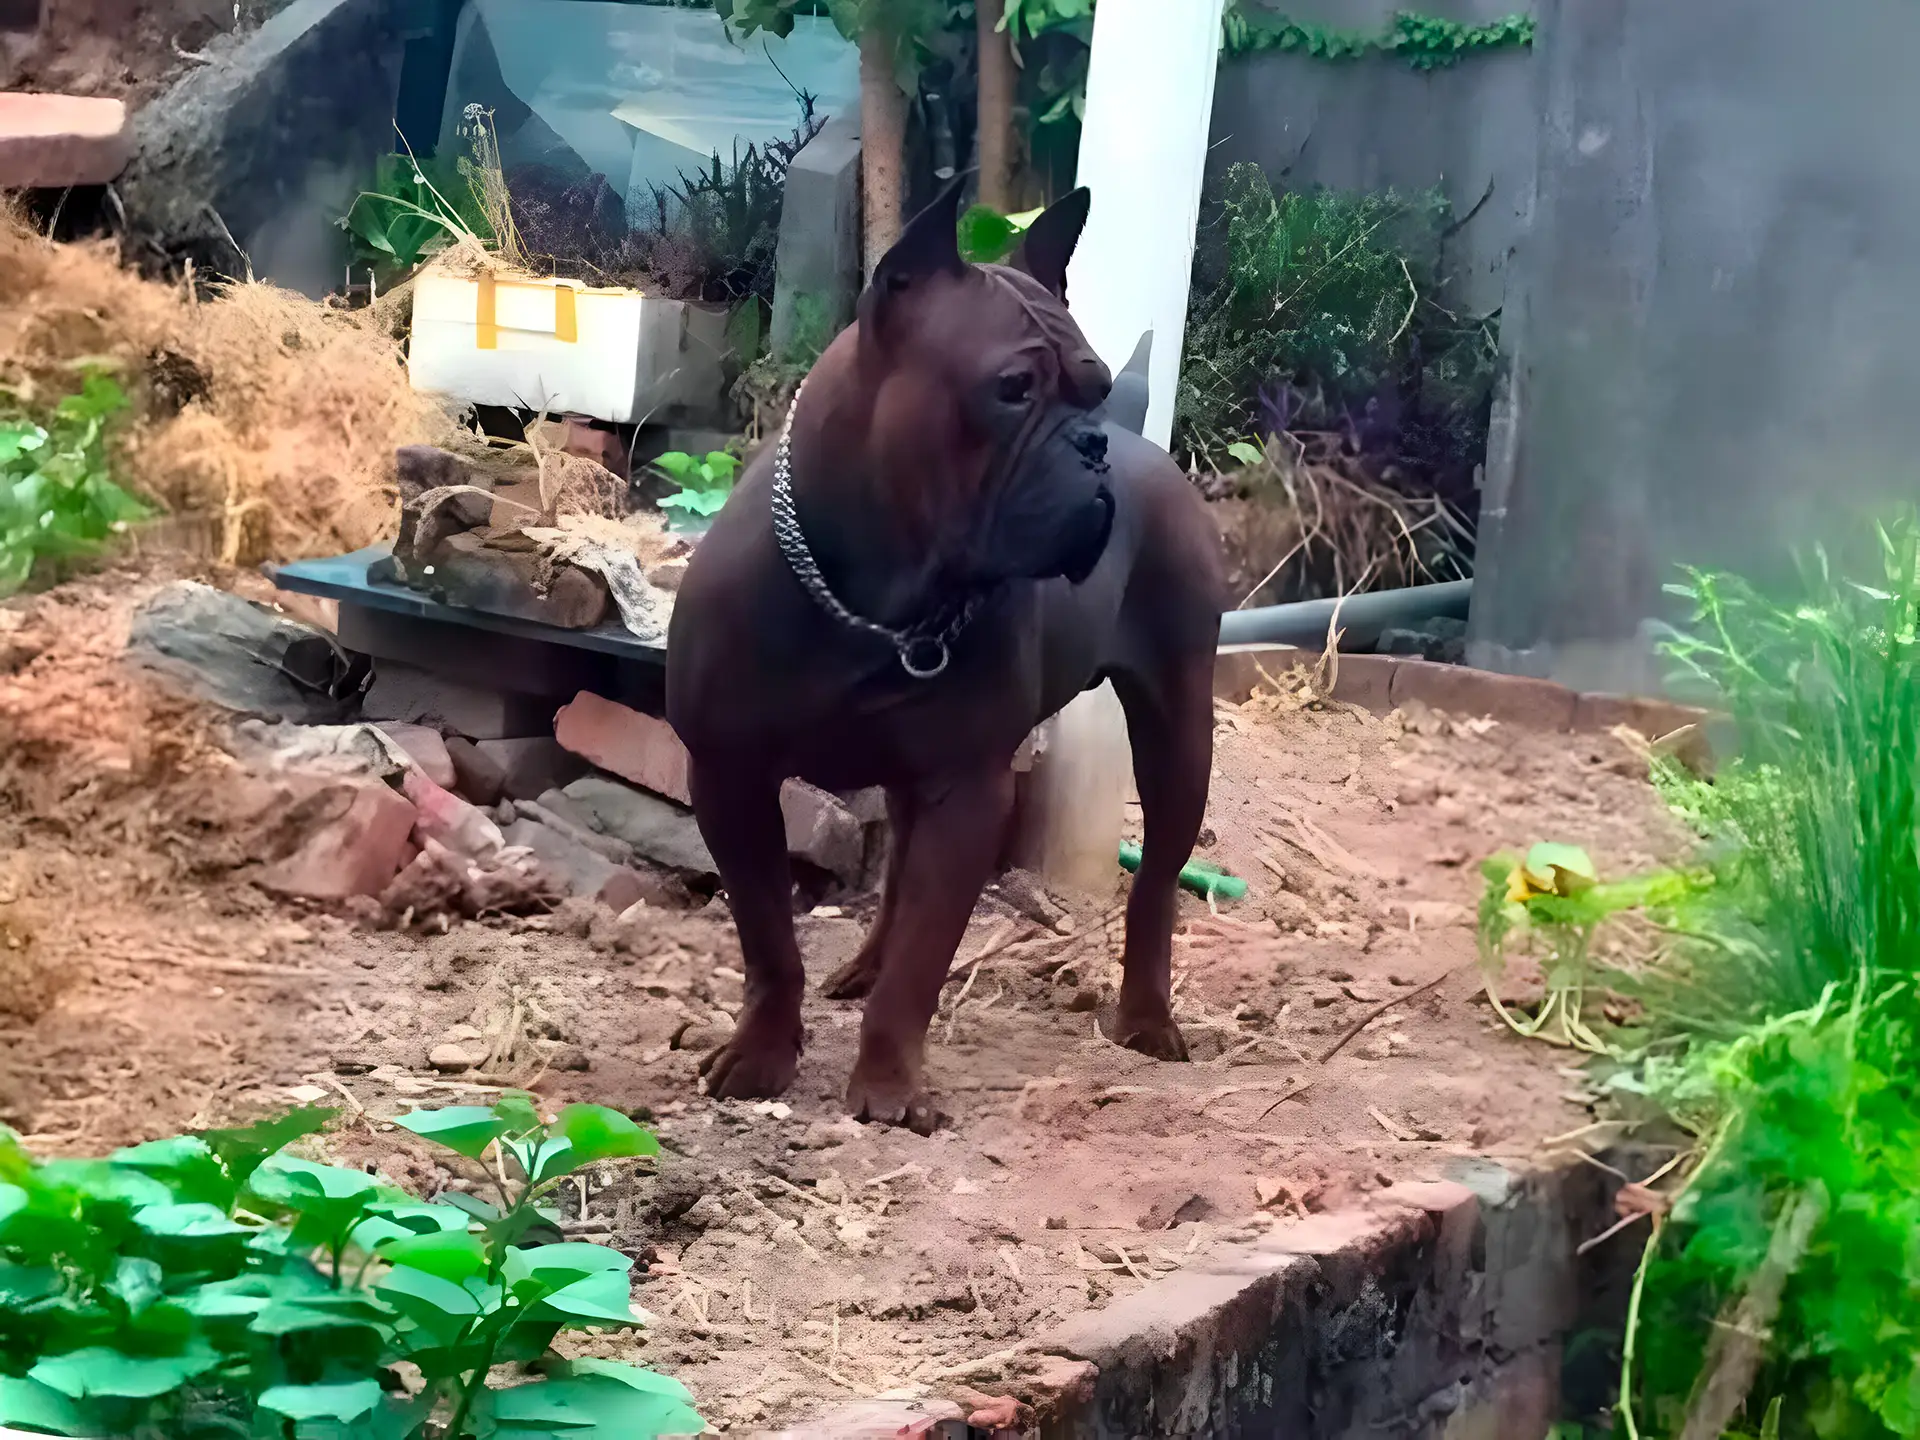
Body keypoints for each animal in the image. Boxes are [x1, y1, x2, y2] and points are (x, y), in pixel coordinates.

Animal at [668, 177, 1221, 1136]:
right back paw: (861, 968)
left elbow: (927, 956)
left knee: (1155, 882)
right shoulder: (729, 777)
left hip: (1179, 734)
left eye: (1092, 385)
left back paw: (1147, 1018)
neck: (878, 604)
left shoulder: (969, 789)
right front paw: (762, 1054)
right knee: (897, 880)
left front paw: (890, 1083)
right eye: (1012, 390)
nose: (1092, 442)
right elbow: (769, 936)